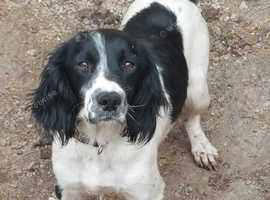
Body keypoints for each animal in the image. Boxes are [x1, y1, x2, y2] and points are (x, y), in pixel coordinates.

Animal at [31, 0, 218, 200]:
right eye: (83, 65)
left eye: (129, 65)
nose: (110, 100)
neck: (99, 143)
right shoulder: (67, 188)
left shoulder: (147, 192)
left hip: (198, 90)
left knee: (192, 117)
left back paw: (202, 147)